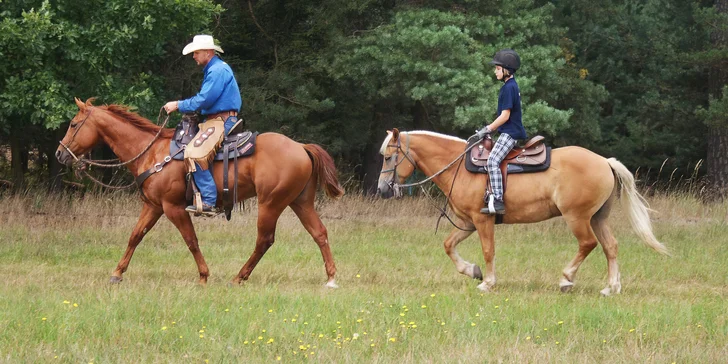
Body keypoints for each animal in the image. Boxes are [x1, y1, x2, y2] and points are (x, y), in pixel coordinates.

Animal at [54, 97, 344, 288]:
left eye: (74, 124)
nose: (59, 154)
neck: (152, 152)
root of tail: (301, 147)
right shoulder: (153, 206)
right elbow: (135, 236)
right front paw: (117, 273)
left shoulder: (173, 207)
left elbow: (190, 240)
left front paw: (204, 275)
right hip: (300, 202)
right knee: (319, 233)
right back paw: (330, 278)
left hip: (271, 203)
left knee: (265, 240)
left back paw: (239, 277)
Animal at [378, 129, 668, 296]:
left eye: (389, 157)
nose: (382, 189)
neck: (458, 167)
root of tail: (604, 162)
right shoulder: (467, 222)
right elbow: (448, 245)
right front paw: (472, 270)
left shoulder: (482, 220)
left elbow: (488, 250)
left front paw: (488, 282)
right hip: (598, 217)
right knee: (611, 246)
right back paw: (611, 287)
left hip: (577, 217)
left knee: (588, 244)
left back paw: (566, 279)